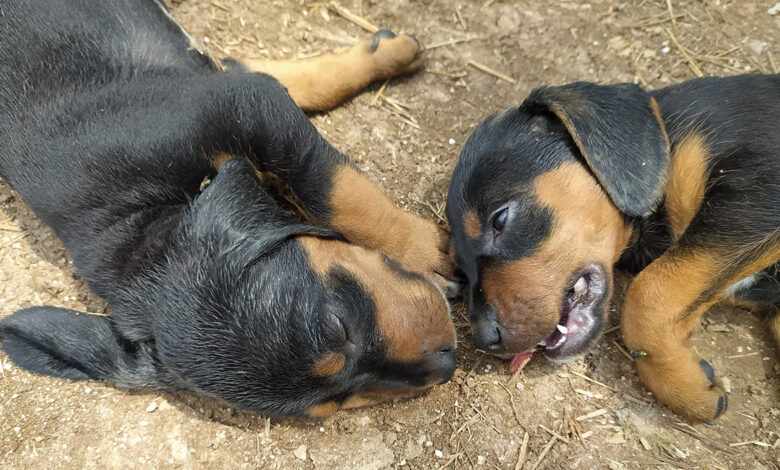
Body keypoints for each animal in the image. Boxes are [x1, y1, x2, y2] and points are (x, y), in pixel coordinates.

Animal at [0, 0, 458, 418]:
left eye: (338, 324)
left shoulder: (234, 104)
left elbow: (331, 186)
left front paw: (420, 251)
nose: (448, 362)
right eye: (337, 401)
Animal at [444, 75, 780, 420]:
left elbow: (649, 290)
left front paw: (684, 388)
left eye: (500, 219)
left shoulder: (757, 194)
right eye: (461, 269)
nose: (484, 339)